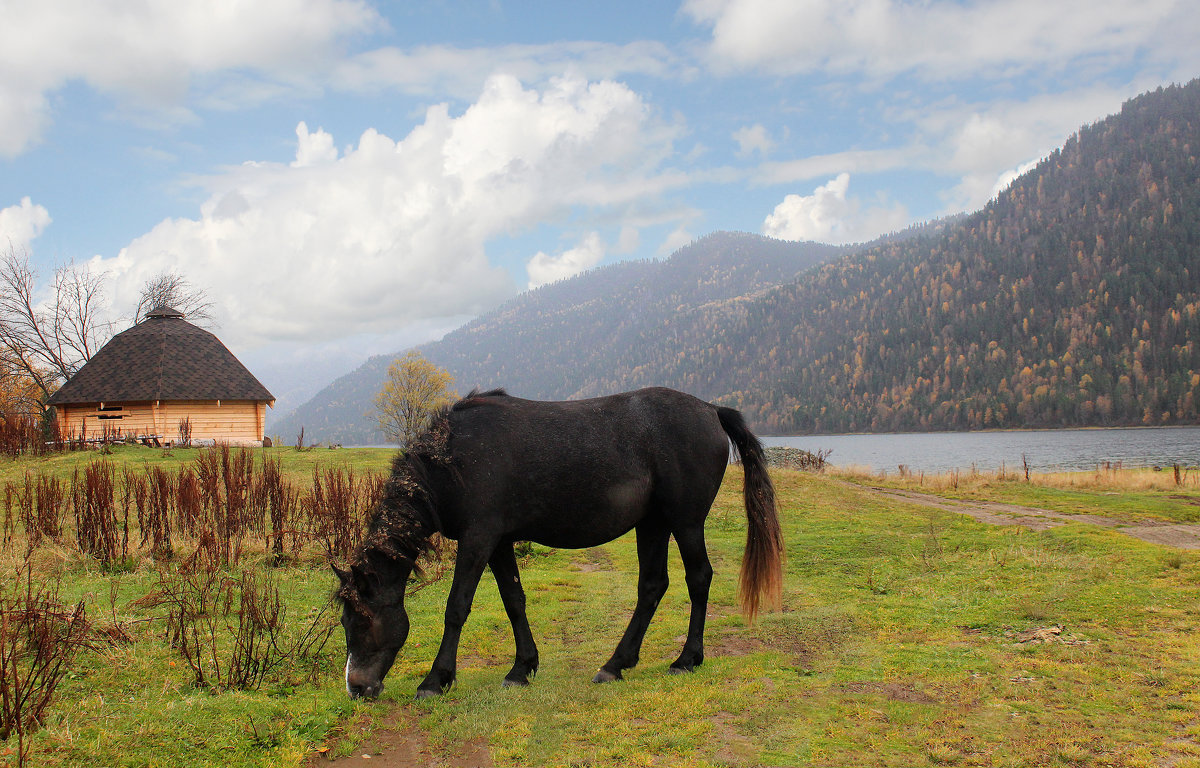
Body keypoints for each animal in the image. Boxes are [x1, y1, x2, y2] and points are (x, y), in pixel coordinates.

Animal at [336, 386, 787, 700]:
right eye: (346, 621)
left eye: (362, 618)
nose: (357, 688)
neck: (454, 460)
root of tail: (710, 409)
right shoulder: (499, 542)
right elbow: (514, 601)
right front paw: (522, 669)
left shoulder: (478, 539)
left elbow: (457, 607)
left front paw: (435, 680)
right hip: (653, 524)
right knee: (652, 586)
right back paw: (616, 664)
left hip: (686, 522)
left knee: (699, 578)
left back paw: (687, 659)